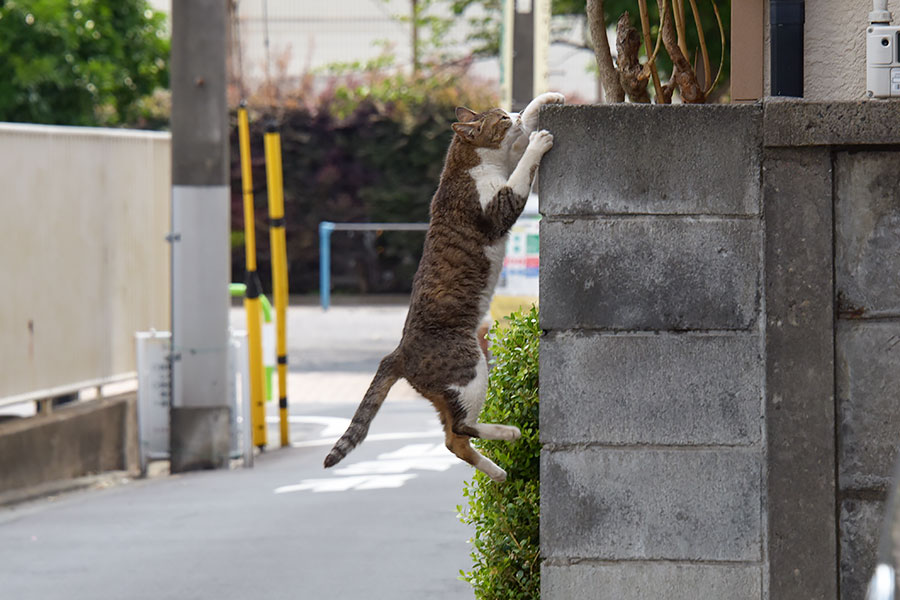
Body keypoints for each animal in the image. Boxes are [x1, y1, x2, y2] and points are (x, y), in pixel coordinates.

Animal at [324, 91, 564, 480]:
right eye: (501, 119)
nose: (511, 114)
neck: (464, 164)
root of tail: (399, 352)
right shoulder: (500, 203)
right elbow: (522, 168)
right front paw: (538, 140)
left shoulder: (506, 166)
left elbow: (524, 137)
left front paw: (545, 100)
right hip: (470, 368)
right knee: (460, 428)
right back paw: (509, 433)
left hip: (453, 387)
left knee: (454, 440)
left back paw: (498, 471)